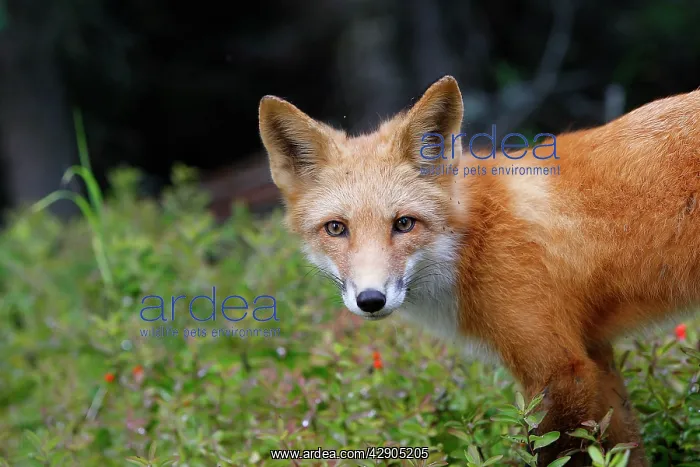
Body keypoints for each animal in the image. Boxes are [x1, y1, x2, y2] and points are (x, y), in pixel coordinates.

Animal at [257, 75, 700, 466]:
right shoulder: (595, 353)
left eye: (404, 224)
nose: (371, 300)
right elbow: (623, 449)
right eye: (336, 228)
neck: (474, 240)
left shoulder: (557, 370)